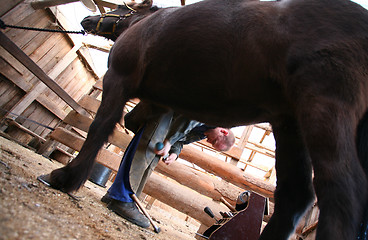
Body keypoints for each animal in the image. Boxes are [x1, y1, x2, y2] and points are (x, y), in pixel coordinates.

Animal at [46, 0, 368, 239]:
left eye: (122, 7)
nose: (88, 19)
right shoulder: (156, 103)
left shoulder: (118, 77)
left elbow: (100, 127)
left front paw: (67, 178)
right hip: (290, 123)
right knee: (296, 195)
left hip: (323, 108)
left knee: (342, 191)